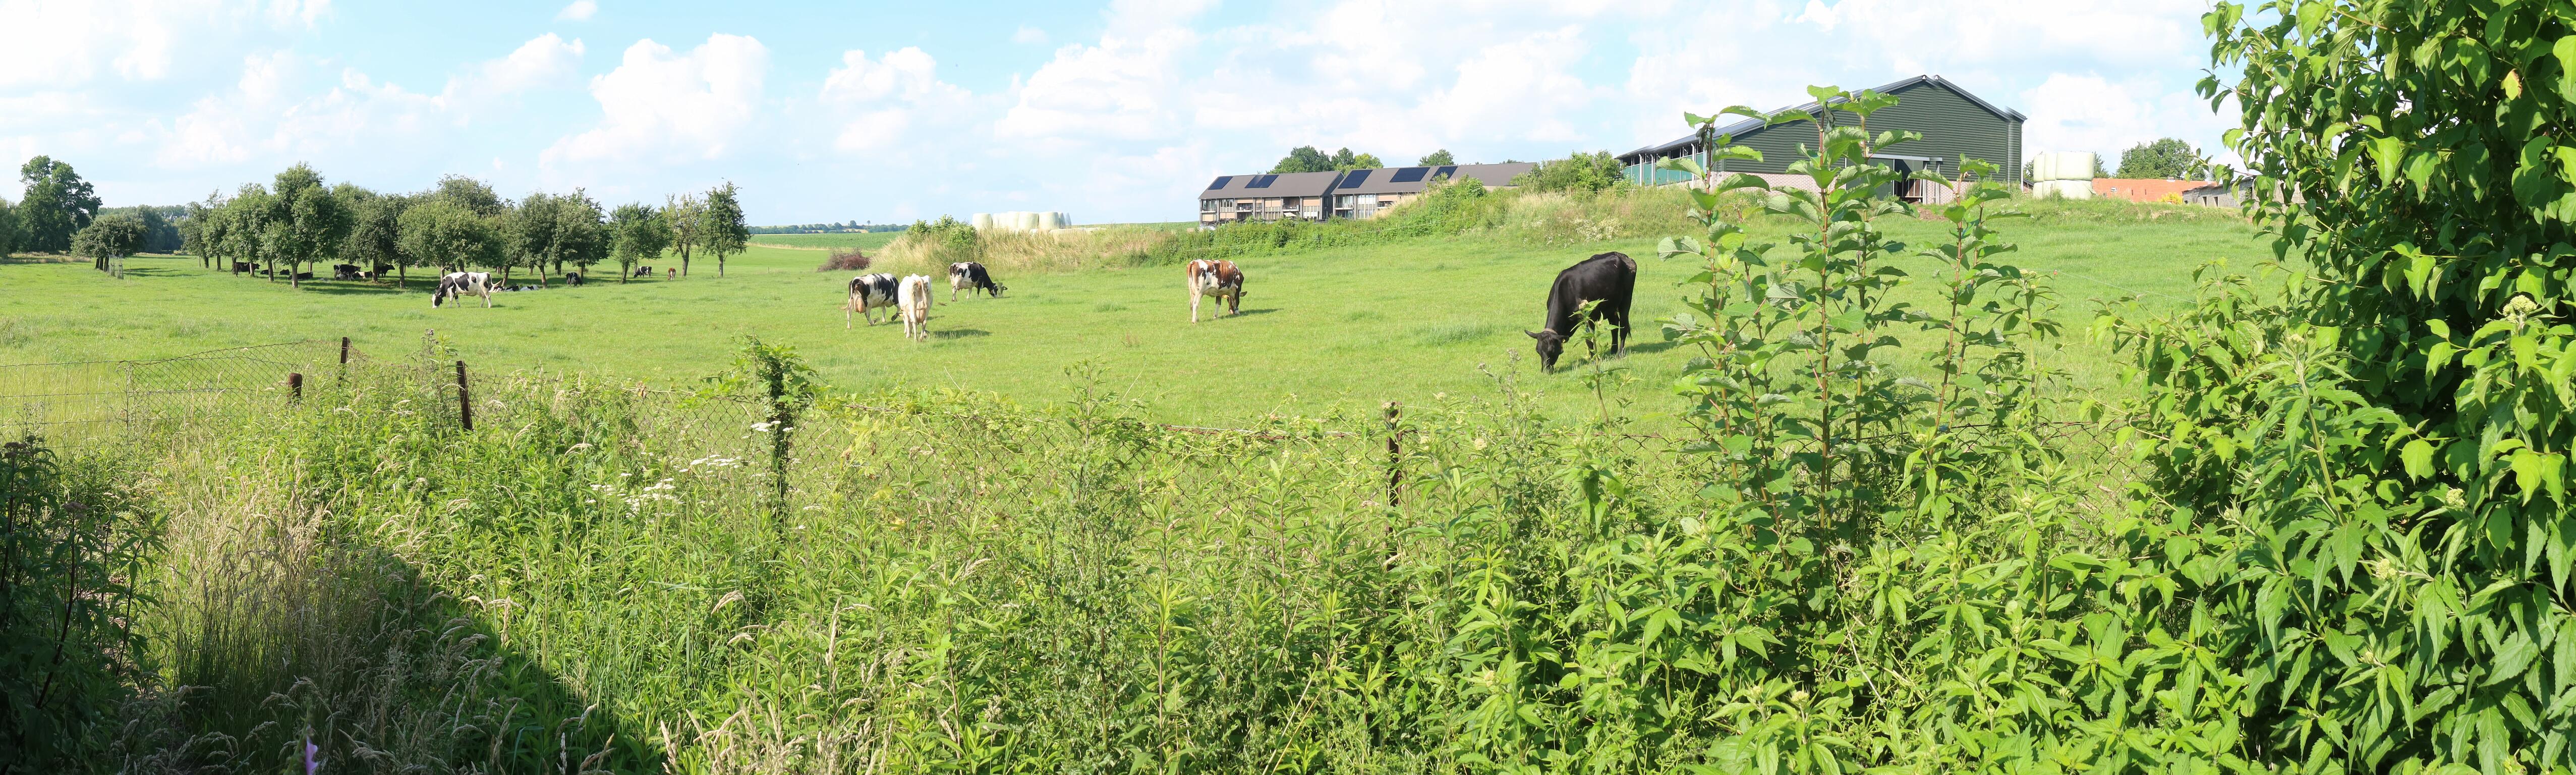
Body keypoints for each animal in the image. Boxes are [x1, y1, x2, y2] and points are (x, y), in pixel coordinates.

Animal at [897, 275, 934, 342]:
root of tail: (918, 279)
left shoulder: (905, 312)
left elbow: (908, 323)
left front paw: (908, 335)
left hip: (913, 307)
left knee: (915, 322)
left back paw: (916, 339)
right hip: (928, 308)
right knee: (924, 323)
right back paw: (921, 338)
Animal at [1525, 251, 1637, 372]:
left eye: (1552, 350)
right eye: (1538, 350)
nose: (1546, 370)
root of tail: (1622, 256)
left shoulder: (1590, 316)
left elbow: (1589, 340)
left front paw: (1593, 360)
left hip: (1626, 300)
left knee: (1624, 327)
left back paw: (1620, 353)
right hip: (1610, 305)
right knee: (1614, 326)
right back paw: (1613, 351)